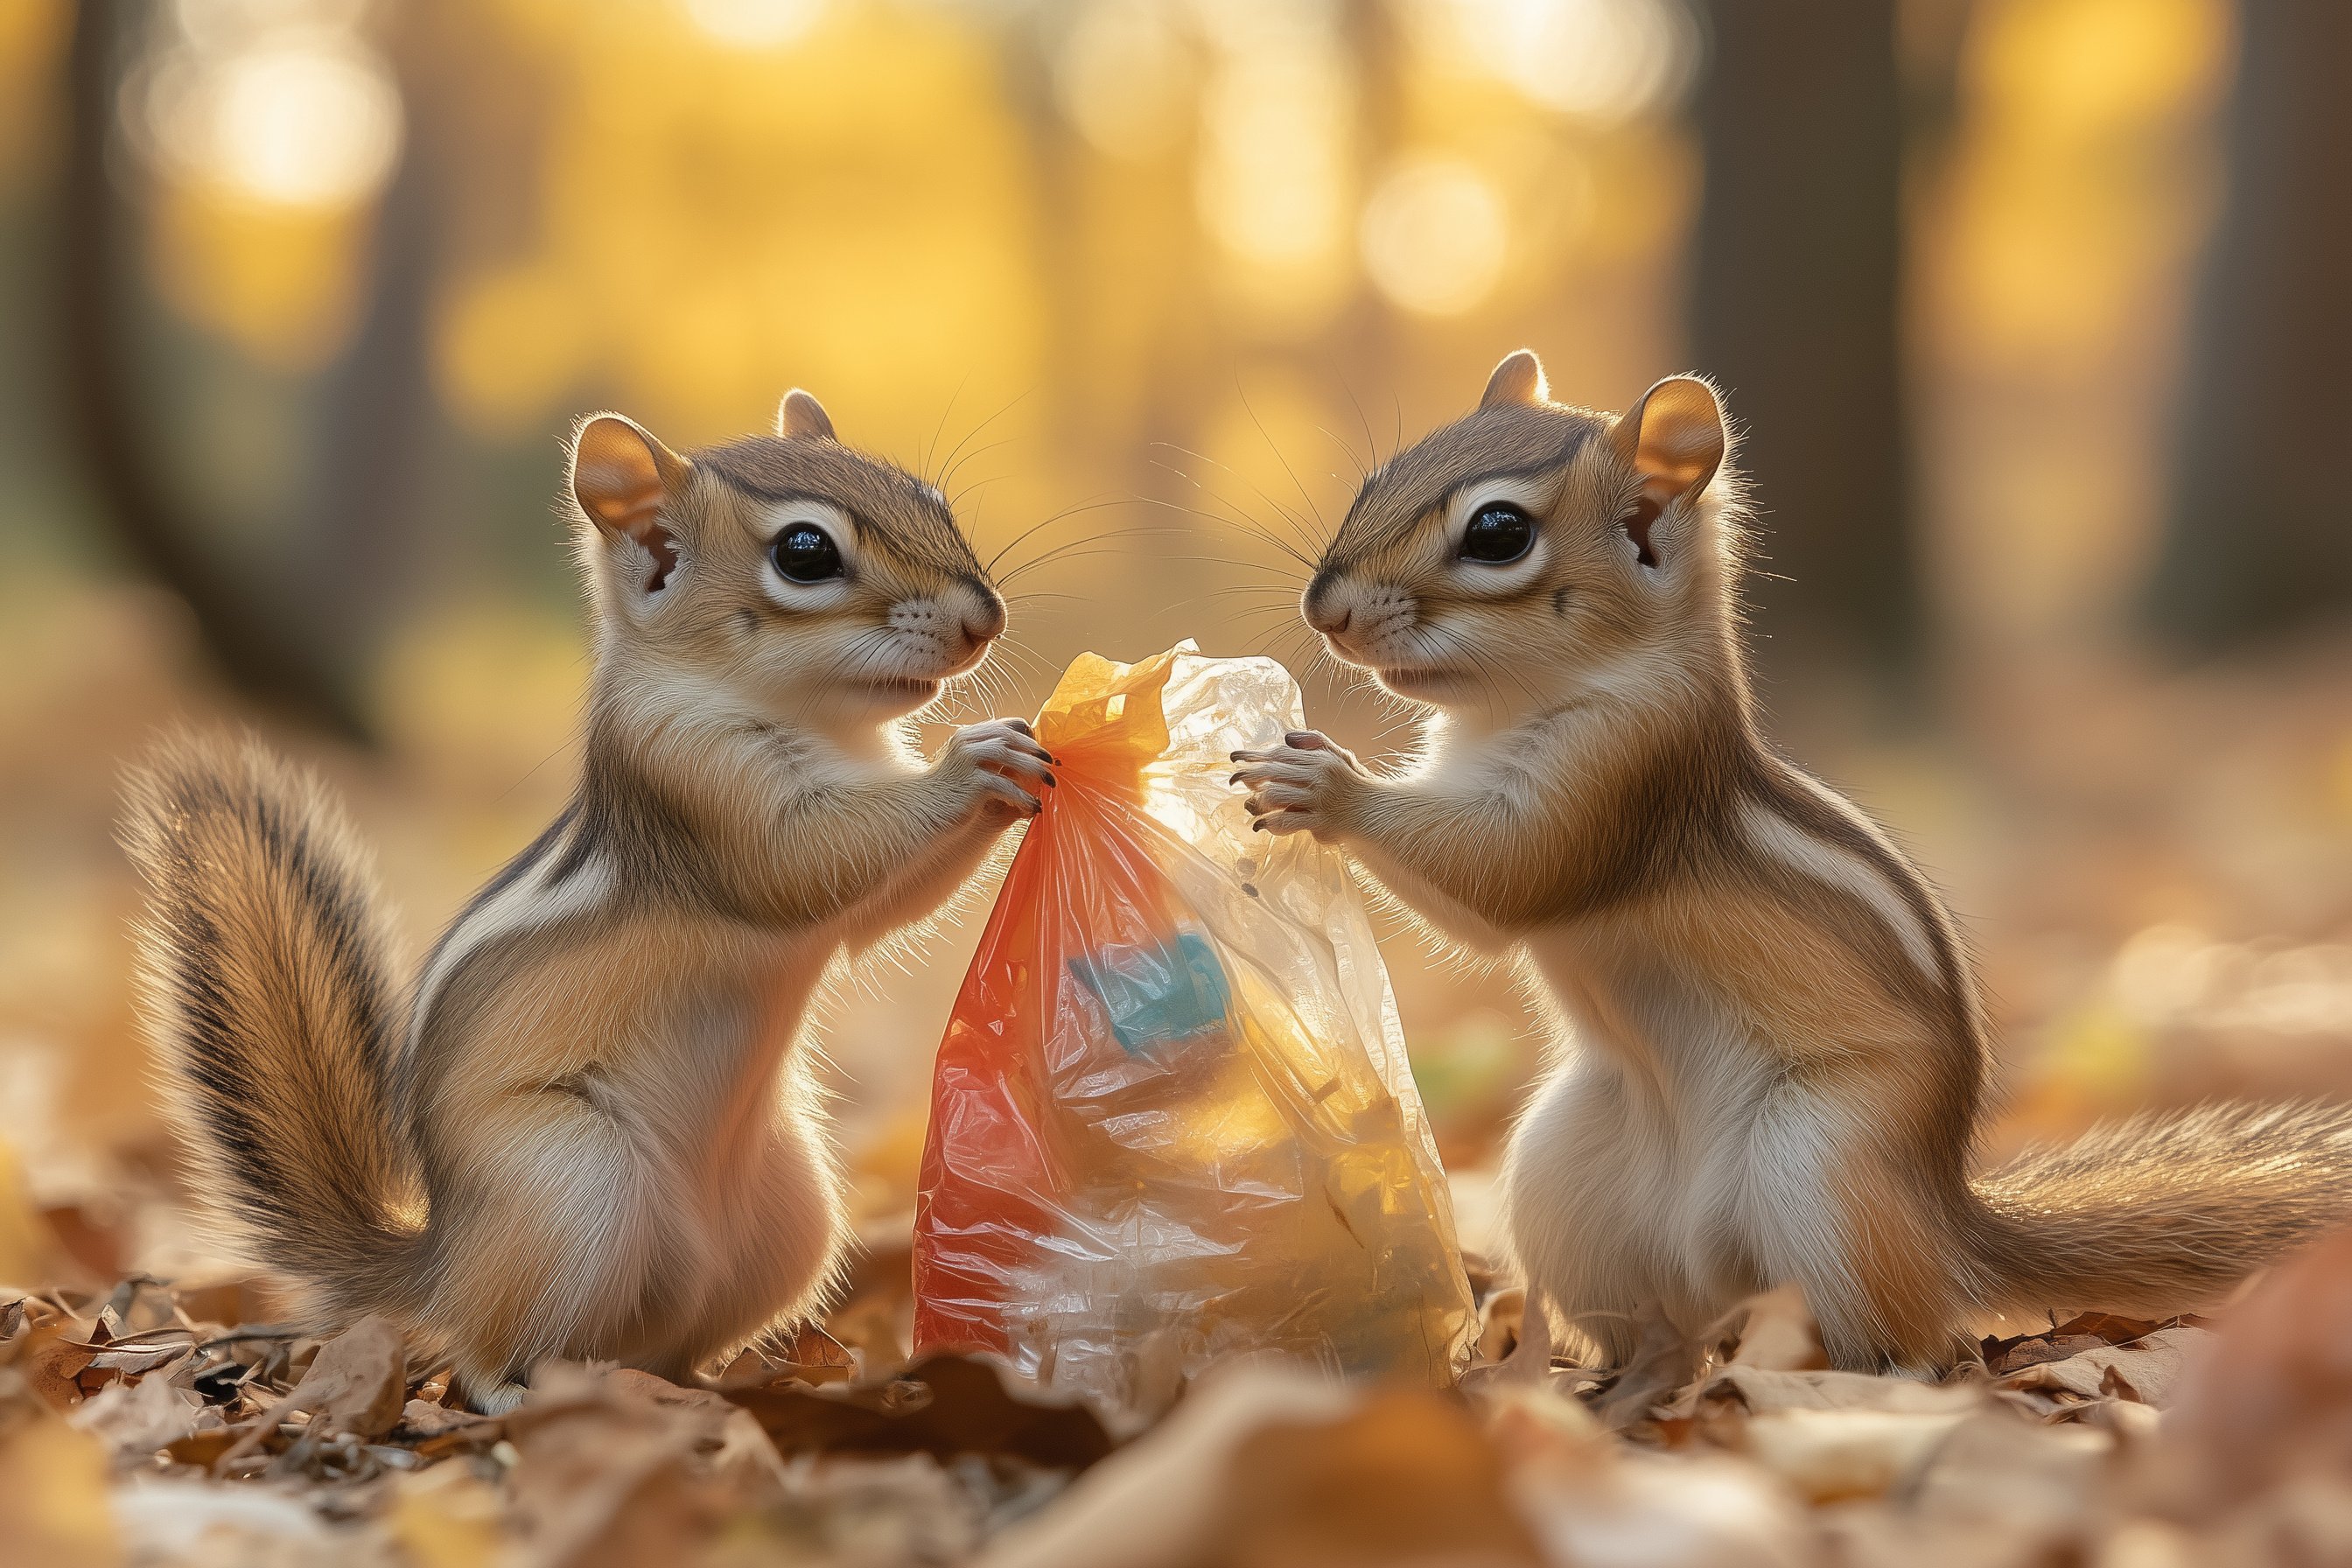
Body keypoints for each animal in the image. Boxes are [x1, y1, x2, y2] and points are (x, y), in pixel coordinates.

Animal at [122, 390, 1054, 1411]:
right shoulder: (697, 785)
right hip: (573, 1182)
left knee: (670, 1338)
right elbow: (813, 860)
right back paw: (518, 1394)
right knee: (487, 1347)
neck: (822, 725)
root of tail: (443, 1259)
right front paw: (972, 763)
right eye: (805, 552)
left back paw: (730, 1382)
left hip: (792, 1218)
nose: (987, 619)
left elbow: (886, 904)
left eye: (931, 497)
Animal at [1231, 349, 2352, 1372]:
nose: (1325, 608)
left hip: (1825, 1167)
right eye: (1380, 477)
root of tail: (1945, 1223)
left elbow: (1503, 879)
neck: (1513, 707)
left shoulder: (1623, 780)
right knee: (1664, 1325)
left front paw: (1325, 786)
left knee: (1905, 1337)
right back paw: (1620, 1378)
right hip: (1564, 1174)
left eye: (1498, 533)